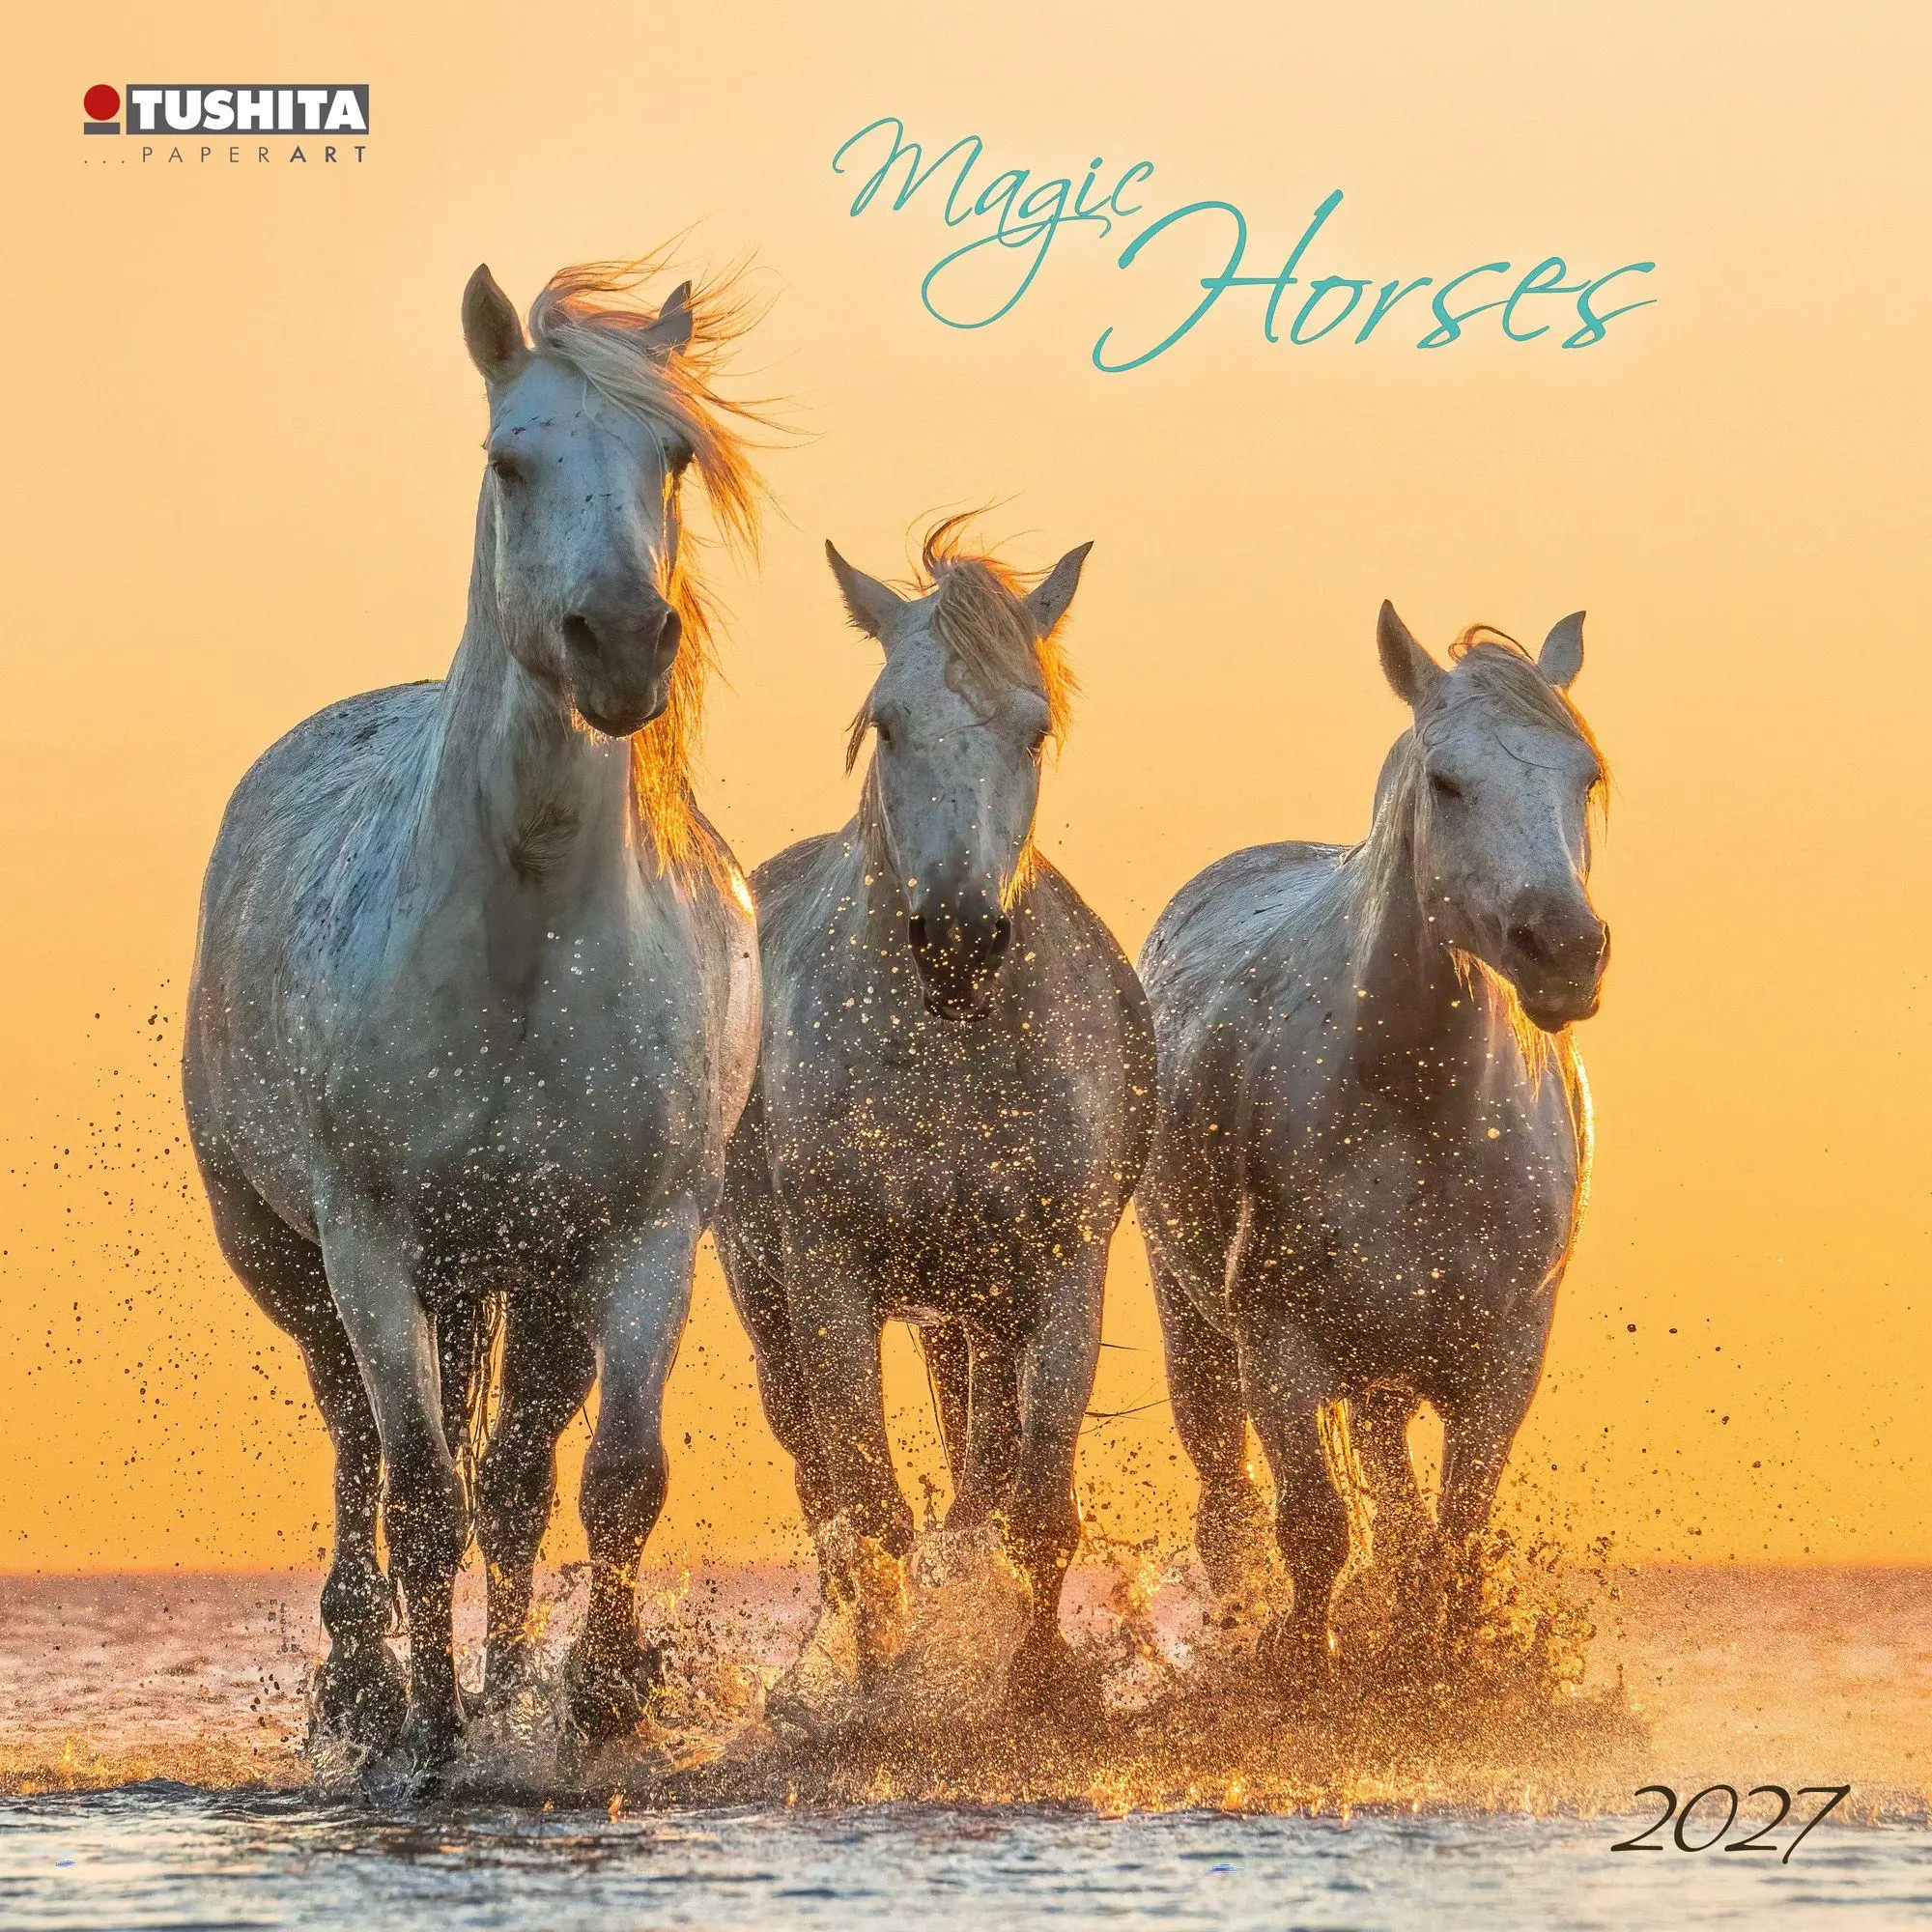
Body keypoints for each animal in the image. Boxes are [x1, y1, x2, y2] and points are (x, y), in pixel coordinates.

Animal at [182, 257, 767, 1781]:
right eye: (511, 460)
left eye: (671, 457)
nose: (619, 644)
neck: (526, 939)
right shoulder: (372, 1237)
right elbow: (418, 1490)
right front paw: (429, 1731)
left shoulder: (641, 1232)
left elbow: (612, 1478)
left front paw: (595, 1705)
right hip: (303, 1261)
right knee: (361, 1447)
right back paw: (364, 1688)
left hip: (527, 1275)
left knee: (512, 1477)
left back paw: (508, 1690)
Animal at [715, 521, 1155, 1706]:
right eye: (885, 722)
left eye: (1034, 728)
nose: (958, 941)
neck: (952, 1057)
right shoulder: (829, 1276)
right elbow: (869, 1506)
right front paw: (886, 1685)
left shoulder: (1058, 1272)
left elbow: (1031, 1503)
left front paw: (1040, 1680)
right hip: (775, 1302)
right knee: (824, 1485)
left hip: (975, 1310)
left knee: (978, 1463)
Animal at [1135, 602, 1611, 1680]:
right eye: (1446, 781)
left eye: (1585, 776)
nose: (1565, 950)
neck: (1417, 1113)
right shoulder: (1279, 1344)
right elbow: (1312, 1524)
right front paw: (1301, 1662)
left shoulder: (1503, 1354)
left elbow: (1450, 1531)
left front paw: (1432, 1659)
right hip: (1196, 1321)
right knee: (1227, 1503)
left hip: (1386, 1368)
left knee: (1393, 1503)